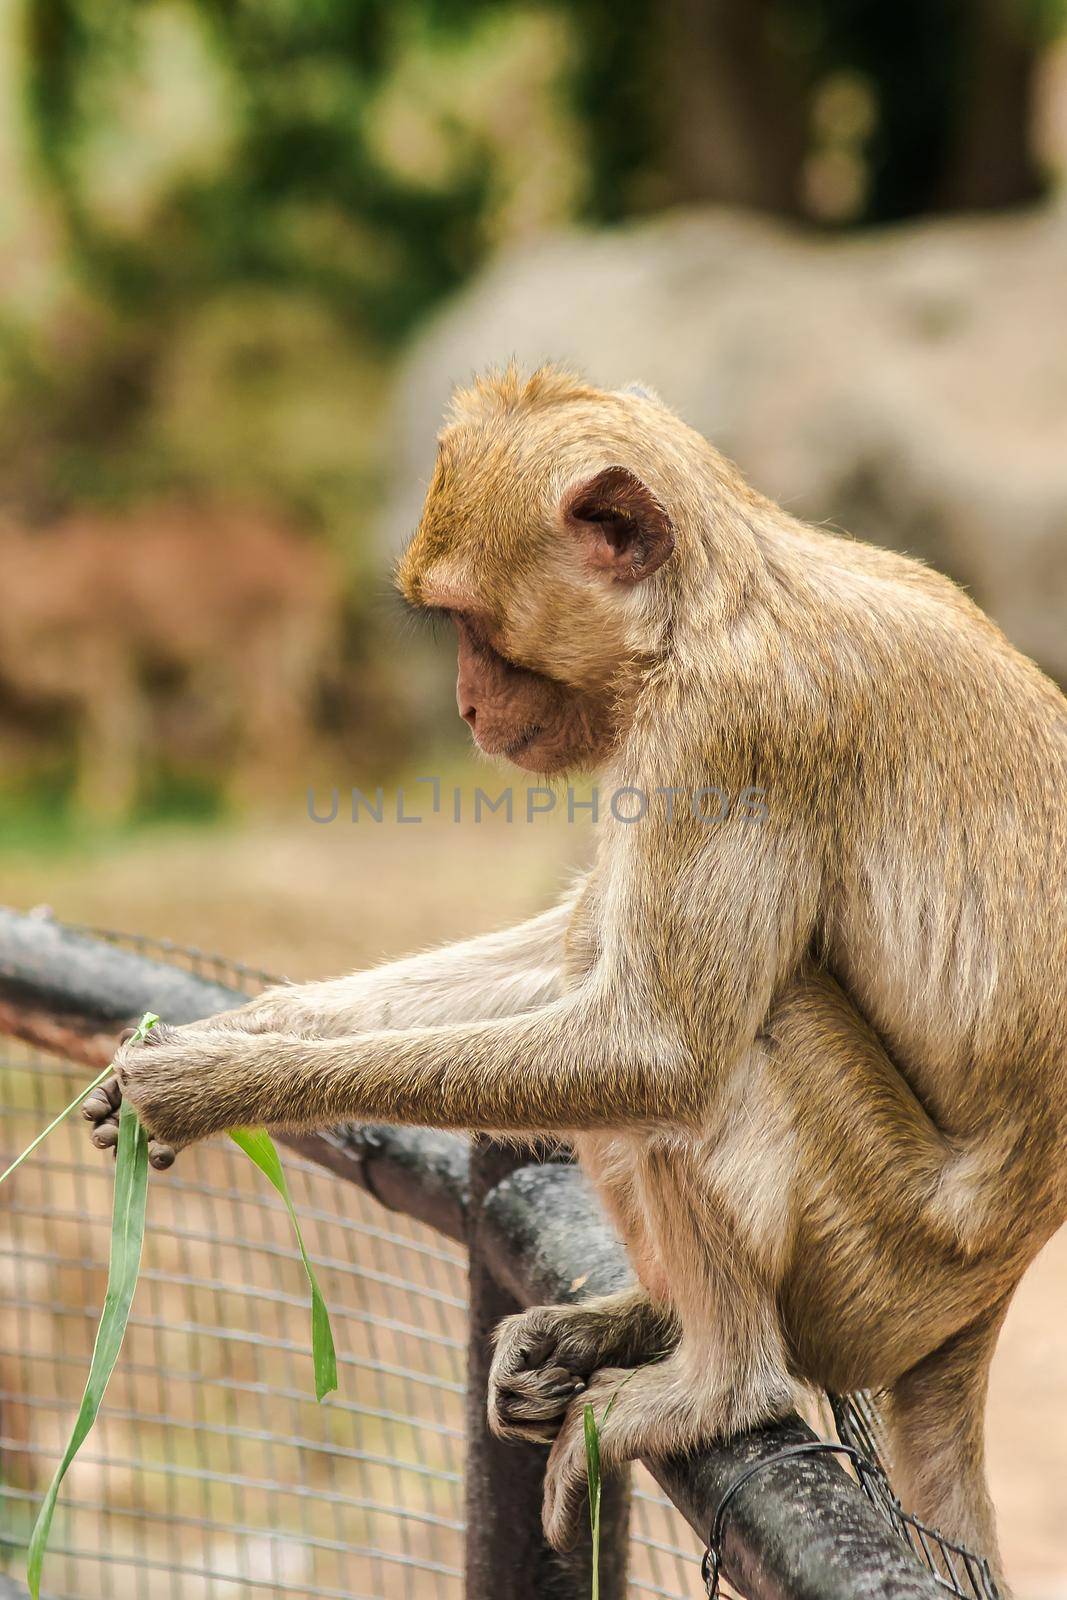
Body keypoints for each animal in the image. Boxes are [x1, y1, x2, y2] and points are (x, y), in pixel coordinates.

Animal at [89, 363, 1067, 1574]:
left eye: (471, 625)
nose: (465, 706)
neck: (710, 602)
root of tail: (983, 1301)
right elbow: (569, 963)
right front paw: (238, 1030)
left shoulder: (728, 734)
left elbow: (654, 1049)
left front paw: (211, 1086)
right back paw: (635, 1325)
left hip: (881, 1267)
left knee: (730, 1053)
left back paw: (716, 1383)